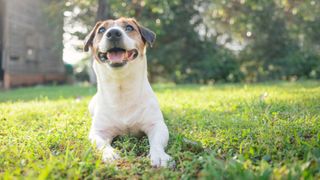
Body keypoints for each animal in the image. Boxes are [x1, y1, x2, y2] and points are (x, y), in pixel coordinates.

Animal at [83, 17, 172, 167]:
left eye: (129, 28)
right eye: (101, 30)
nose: (113, 33)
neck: (121, 89)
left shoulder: (156, 125)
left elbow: (157, 142)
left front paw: (159, 156)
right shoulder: (98, 132)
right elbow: (101, 144)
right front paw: (110, 154)